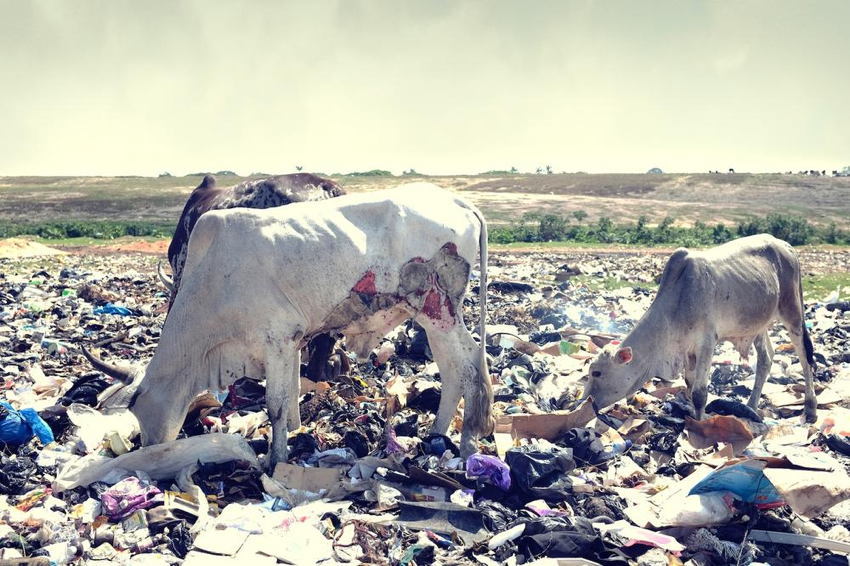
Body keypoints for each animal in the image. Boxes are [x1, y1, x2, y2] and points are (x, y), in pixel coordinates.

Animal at [121, 185, 490, 470]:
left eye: (137, 406)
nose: (149, 450)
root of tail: (459, 202)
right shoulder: (292, 343)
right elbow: (293, 394)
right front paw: (296, 434)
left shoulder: (275, 340)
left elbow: (275, 404)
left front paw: (276, 459)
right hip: (434, 320)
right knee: (452, 370)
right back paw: (437, 435)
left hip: (439, 310)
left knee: (471, 364)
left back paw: (467, 442)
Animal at [584, 234, 816, 422]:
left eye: (596, 373)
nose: (585, 402)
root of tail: (786, 245)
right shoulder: (687, 349)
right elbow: (689, 382)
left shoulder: (706, 341)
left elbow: (699, 393)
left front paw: (701, 422)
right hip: (757, 325)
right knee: (766, 358)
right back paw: (750, 407)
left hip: (793, 312)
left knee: (804, 359)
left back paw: (810, 409)